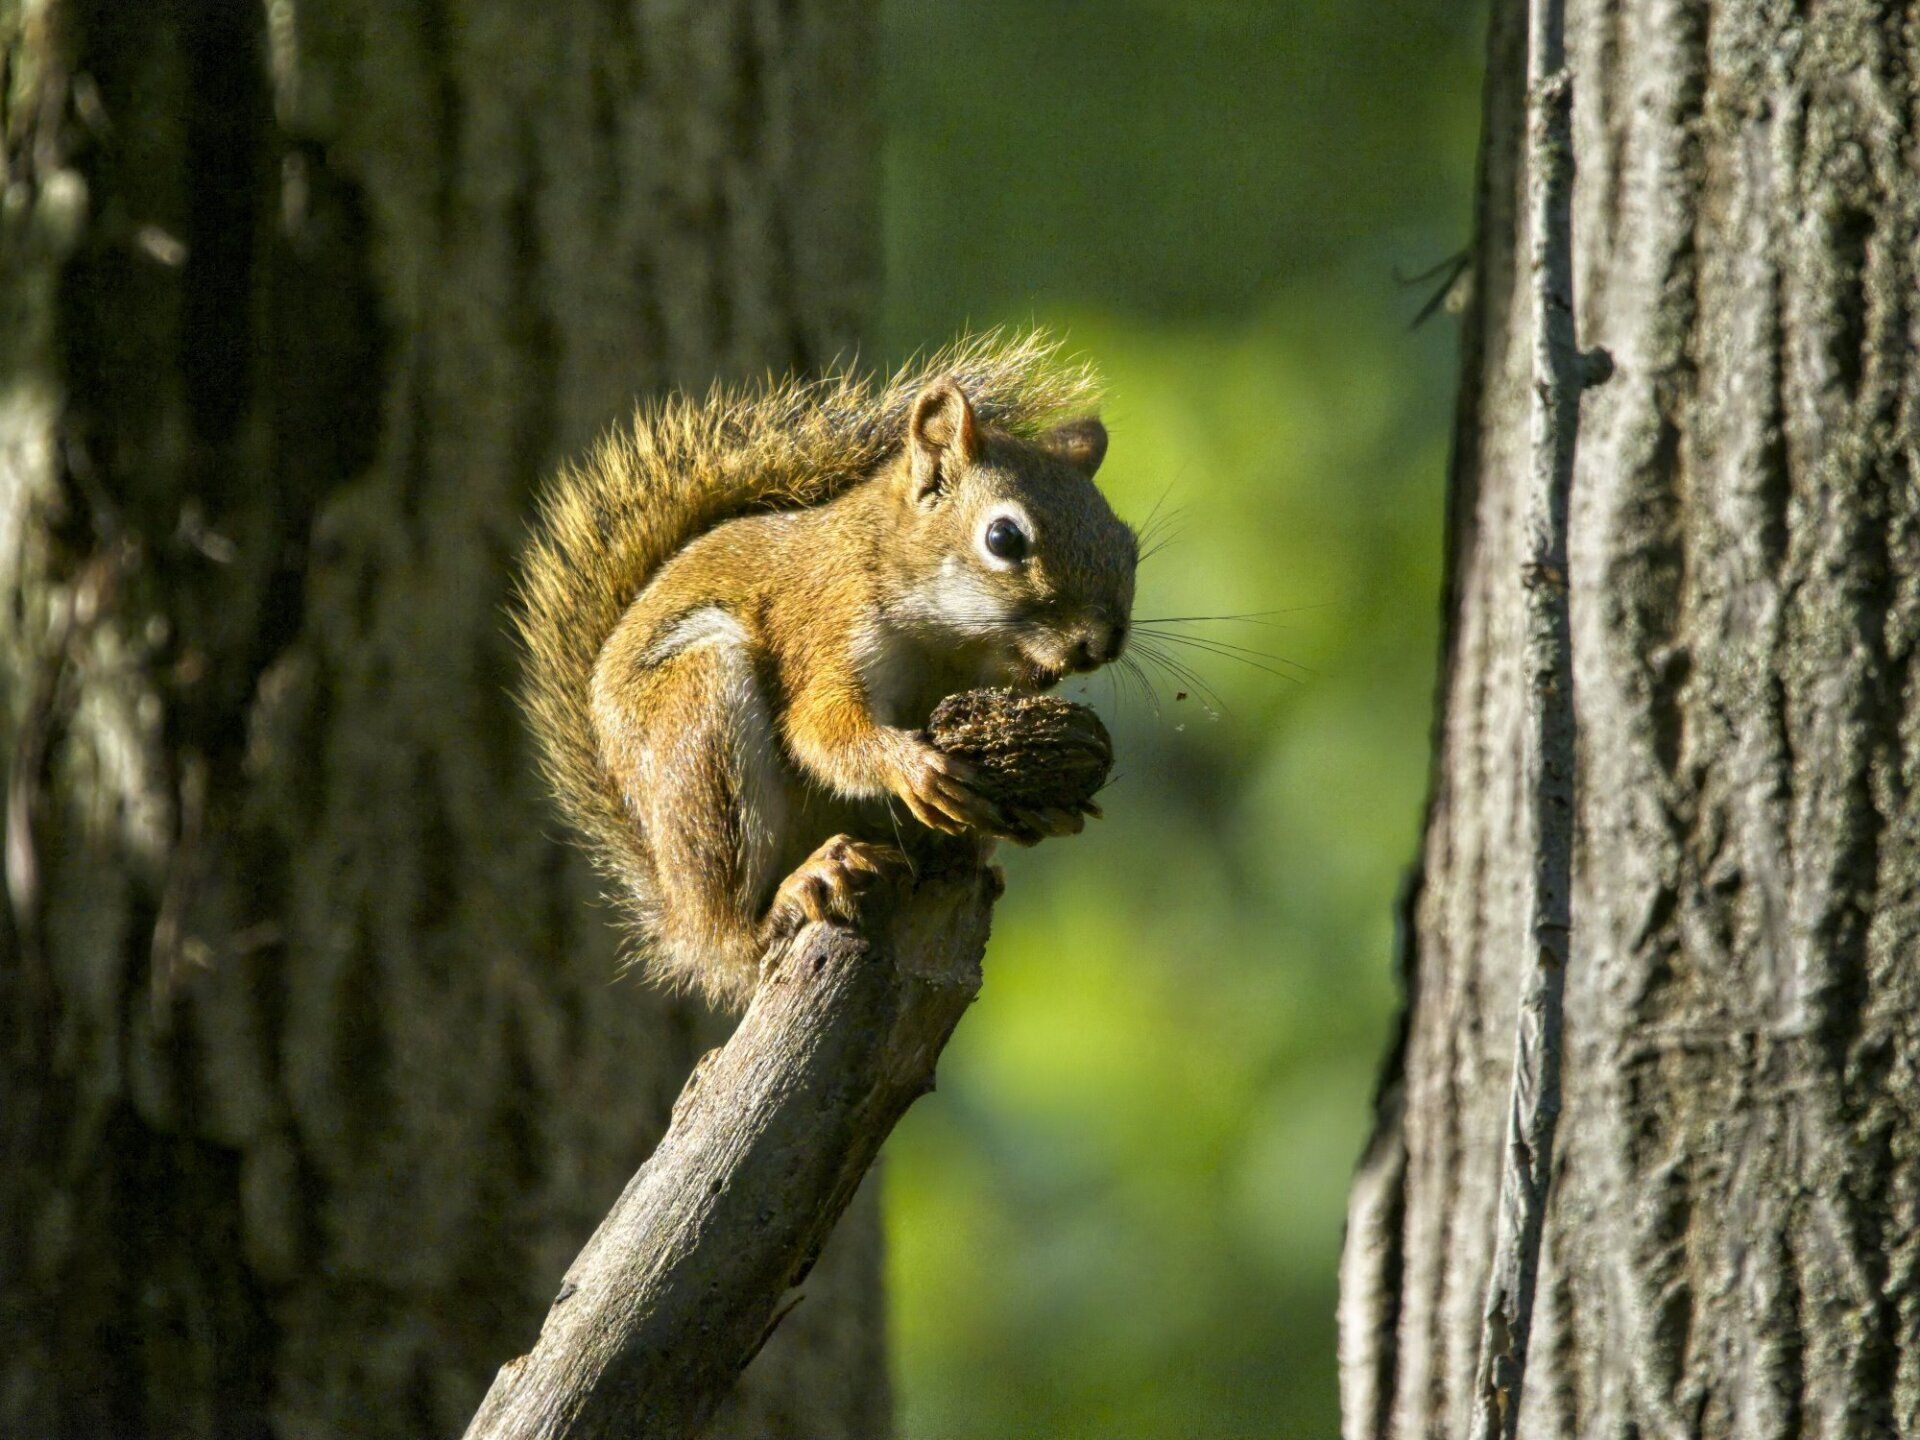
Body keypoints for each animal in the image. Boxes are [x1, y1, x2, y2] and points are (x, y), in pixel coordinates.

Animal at [514, 332, 1137, 1010]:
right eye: (1003, 538)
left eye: (1128, 543)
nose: (1099, 643)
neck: (949, 647)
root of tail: (679, 921)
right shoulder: (827, 627)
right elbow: (820, 730)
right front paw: (912, 766)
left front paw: (1051, 809)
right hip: (700, 731)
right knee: (735, 927)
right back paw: (793, 892)